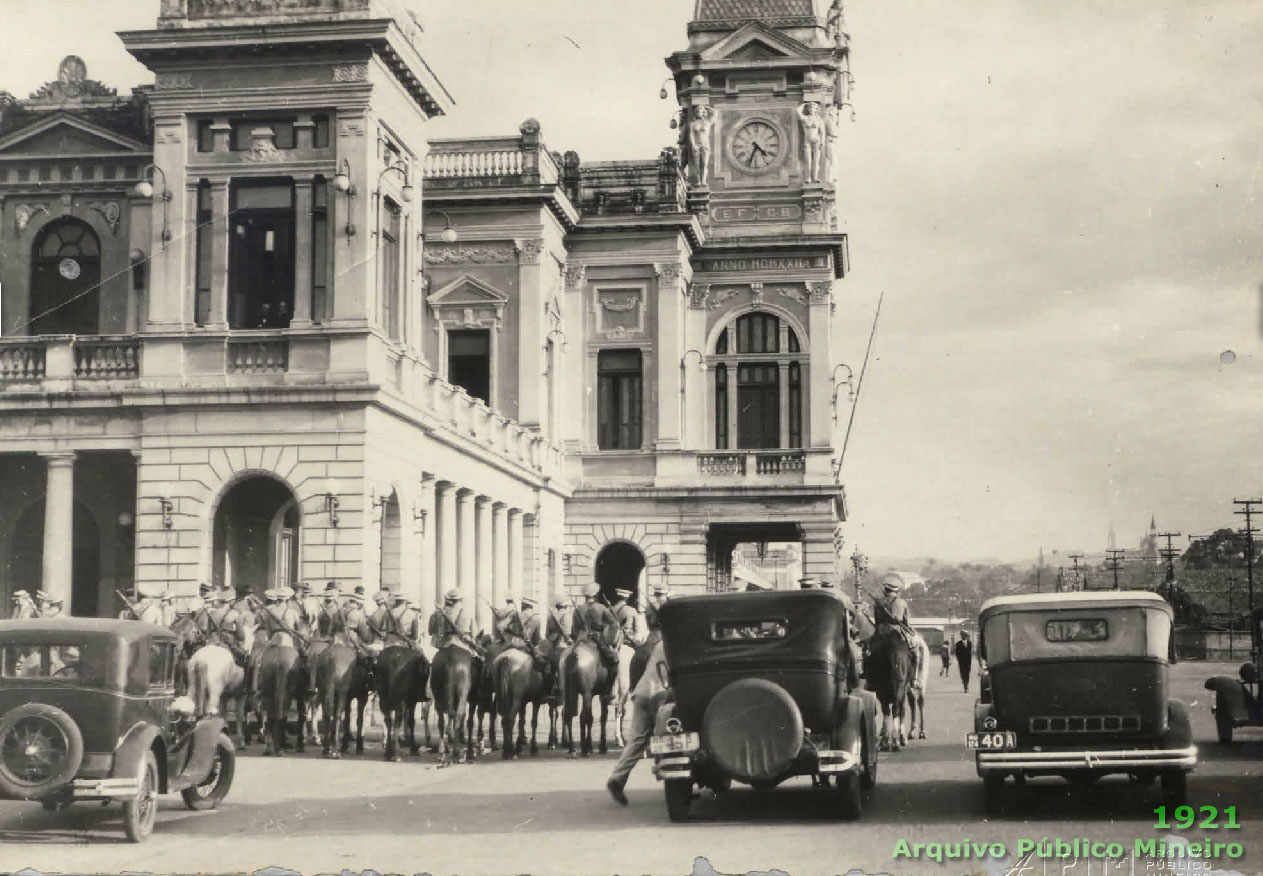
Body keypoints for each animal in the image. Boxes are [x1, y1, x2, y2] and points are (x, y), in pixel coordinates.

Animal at [863, 623, 914, 757]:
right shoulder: (903, 689)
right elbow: (902, 710)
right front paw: (902, 737)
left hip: (885, 688)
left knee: (888, 710)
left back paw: (887, 742)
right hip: (898, 686)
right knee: (894, 709)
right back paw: (893, 742)